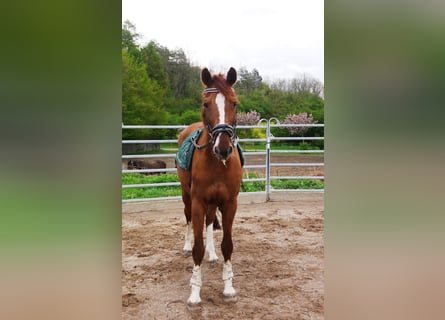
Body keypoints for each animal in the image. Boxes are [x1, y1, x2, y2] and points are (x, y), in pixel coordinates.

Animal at [176, 67, 243, 308]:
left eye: (234, 103)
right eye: (206, 104)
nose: (223, 148)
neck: (217, 163)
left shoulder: (230, 203)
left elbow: (227, 245)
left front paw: (229, 287)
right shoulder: (198, 202)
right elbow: (197, 248)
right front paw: (195, 293)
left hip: (214, 203)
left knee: (209, 223)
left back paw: (212, 255)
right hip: (186, 195)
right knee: (187, 218)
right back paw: (186, 245)